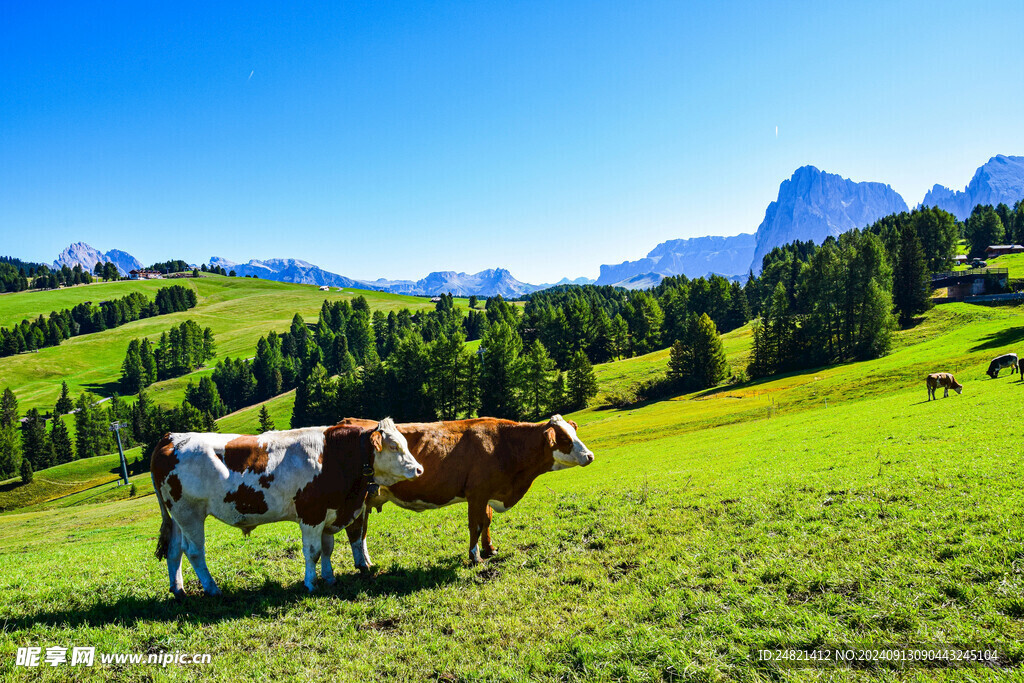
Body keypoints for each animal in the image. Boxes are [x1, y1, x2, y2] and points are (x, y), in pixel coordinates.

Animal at [149, 419, 421, 593]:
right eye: (394, 445)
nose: (419, 469)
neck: (333, 456)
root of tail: (172, 437)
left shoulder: (328, 513)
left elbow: (327, 549)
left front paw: (330, 578)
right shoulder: (311, 514)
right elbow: (313, 551)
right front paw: (311, 584)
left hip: (177, 516)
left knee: (174, 550)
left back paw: (178, 590)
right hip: (190, 513)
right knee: (194, 551)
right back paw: (212, 588)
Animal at [337, 417, 593, 565]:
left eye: (574, 432)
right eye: (564, 438)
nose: (590, 456)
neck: (504, 444)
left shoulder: (487, 492)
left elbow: (487, 520)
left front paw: (490, 549)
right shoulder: (476, 494)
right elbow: (475, 525)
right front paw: (475, 556)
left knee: (361, 533)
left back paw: (367, 562)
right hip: (360, 501)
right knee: (355, 532)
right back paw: (364, 566)